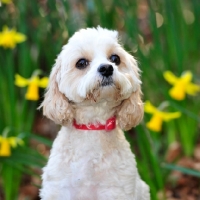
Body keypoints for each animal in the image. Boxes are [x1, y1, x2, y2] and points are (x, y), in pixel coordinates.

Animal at [39, 27, 150, 200]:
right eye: (81, 63)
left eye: (115, 58)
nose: (107, 68)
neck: (93, 126)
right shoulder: (58, 190)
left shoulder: (116, 191)